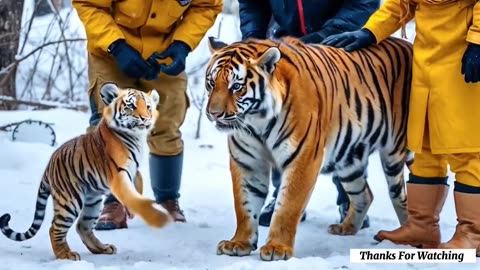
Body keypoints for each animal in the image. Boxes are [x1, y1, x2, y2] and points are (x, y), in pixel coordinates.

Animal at [0, 83, 172, 260]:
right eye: (131, 106)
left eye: (148, 106)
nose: (145, 118)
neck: (136, 137)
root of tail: (49, 165)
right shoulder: (119, 175)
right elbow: (132, 197)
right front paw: (158, 217)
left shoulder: (132, 171)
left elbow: (138, 184)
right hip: (69, 201)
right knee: (54, 228)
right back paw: (66, 254)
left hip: (93, 201)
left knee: (82, 226)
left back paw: (103, 248)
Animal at [205, 34, 412, 260]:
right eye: (211, 83)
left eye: (236, 87)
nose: (213, 114)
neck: (257, 121)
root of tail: (408, 45)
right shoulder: (247, 161)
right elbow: (244, 204)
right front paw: (239, 243)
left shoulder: (303, 157)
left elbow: (287, 206)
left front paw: (277, 248)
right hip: (350, 158)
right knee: (364, 194)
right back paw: (346, 227)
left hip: (394, 153)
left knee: (401, 195)